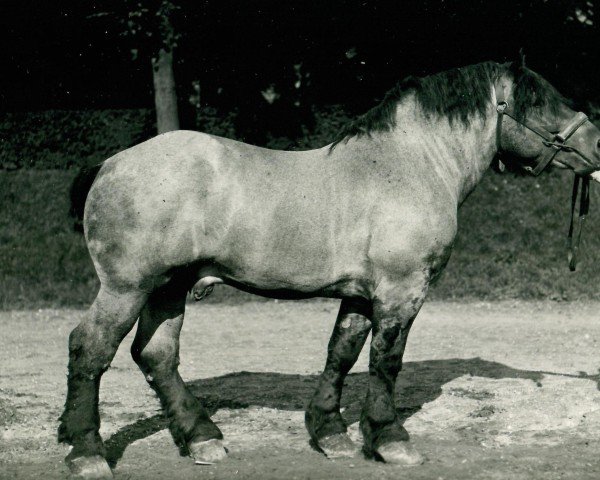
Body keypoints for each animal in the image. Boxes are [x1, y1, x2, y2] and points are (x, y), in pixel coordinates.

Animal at [57, 58, 600, 478]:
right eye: (537, 101)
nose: (597, 147)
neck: (410, 165)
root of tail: (110, 165)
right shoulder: (401, 291)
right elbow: (386, 361)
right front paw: (389, 438)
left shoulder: (360, 293)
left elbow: (342, 353)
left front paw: (330, 433)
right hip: (127, 287)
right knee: (90, 349)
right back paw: (87, 452)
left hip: (169, 288)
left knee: (156, 355)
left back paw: (202, 438)